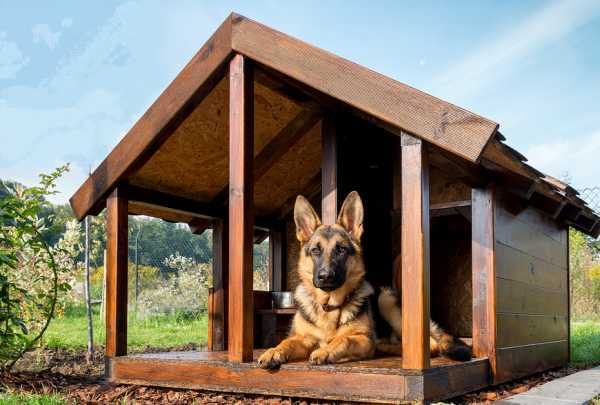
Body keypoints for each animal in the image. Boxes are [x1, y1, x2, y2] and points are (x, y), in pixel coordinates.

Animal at [257, 191, 471, 369]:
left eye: (341, 249)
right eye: (316, 250)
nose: (326, 276)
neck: (329, 307)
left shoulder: (362, 338)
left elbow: (344, 339)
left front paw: (326, 350)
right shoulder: (303, 338)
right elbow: (286, 342)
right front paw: (273, 351)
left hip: (385, 299)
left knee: (431, 345)